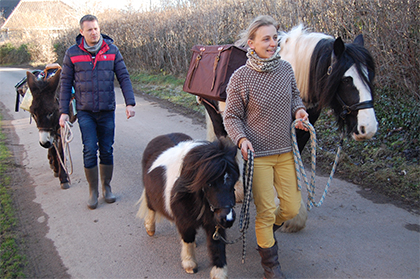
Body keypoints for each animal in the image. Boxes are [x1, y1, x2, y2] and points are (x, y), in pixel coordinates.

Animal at [136, 133, 238, 279]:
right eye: (209, 184)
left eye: (234, 182)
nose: (227, 219)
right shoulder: (184, 220)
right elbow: (188, 238)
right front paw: (190, 264)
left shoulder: (214, 223)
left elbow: (217, 245)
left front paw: (219, 272)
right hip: (151, 196)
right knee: (151, 208)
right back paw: (150, 228)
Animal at [199, 24, 378, 234]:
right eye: (346, 80)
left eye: (369, 76)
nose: (368, 128)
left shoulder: (300, 130)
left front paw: (292, 215)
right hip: (218, 119)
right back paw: (239, 190)